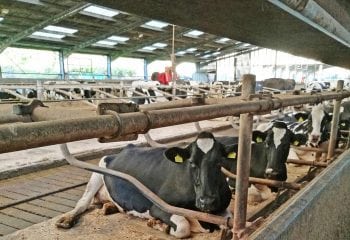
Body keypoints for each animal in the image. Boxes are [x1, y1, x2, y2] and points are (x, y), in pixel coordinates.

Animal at [56, 132, 234, 239]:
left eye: (220, 162)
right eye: (191, 163)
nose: (207, 201)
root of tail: (126, 148)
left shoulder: (223, 208)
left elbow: (229, 220)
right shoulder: (158, 207)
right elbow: (183, 227)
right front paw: (160, 225)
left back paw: (109, 207)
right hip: (99, 168)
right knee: (83, 202)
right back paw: (66, 219)